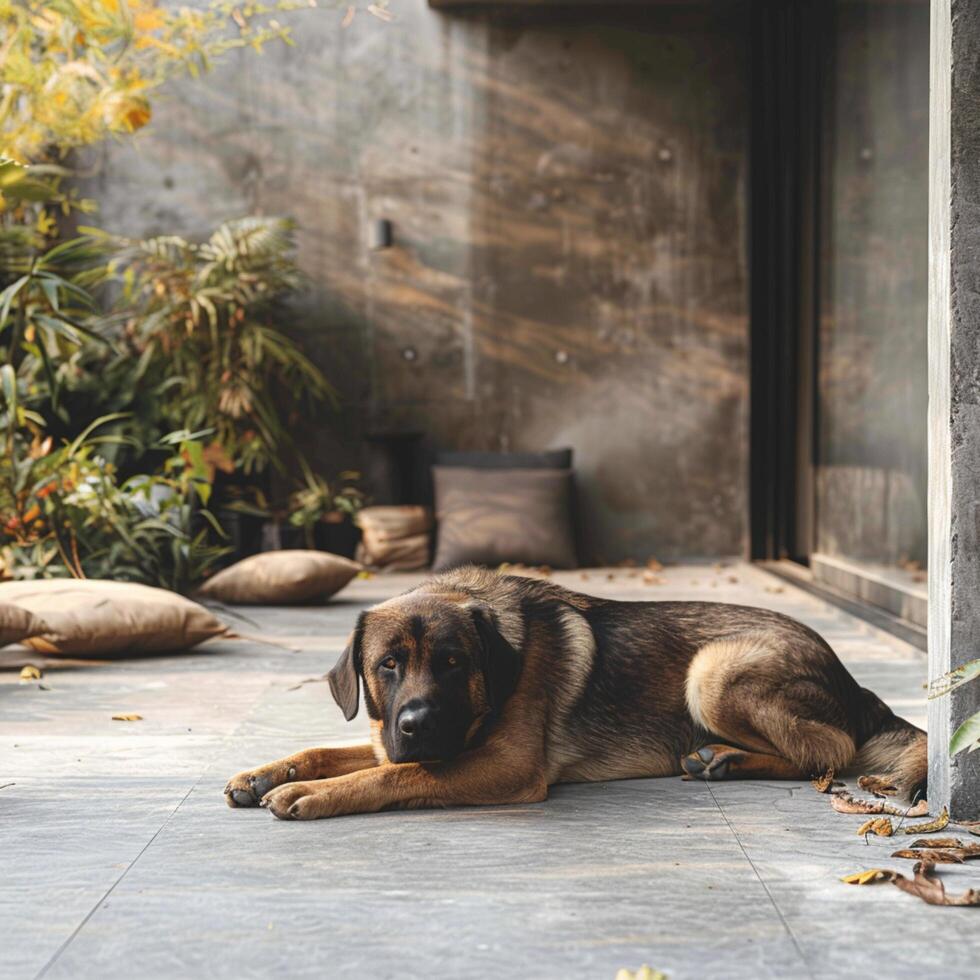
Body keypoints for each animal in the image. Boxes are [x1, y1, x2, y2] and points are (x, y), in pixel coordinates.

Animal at [222, 568, 928, 820]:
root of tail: (849, 677)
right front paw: (265, 774)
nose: (418, 723)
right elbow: (330, 750)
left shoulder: (502, 766)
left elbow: (394, 775)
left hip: (713, 671)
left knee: (830, 749)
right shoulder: (389, 738)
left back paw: (726, 758)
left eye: (452, 663)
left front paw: (311, 795)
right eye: (387, 665)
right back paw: (719, 758)